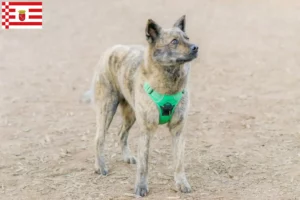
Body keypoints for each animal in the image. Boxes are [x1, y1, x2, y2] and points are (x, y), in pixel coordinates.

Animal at [88, 15, 198, 197]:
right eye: (174, 41)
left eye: (187, 38)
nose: (196, 47)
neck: (169, 84)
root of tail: (111, 49)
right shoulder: (146, 130)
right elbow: (144, 164)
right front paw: (141, 187)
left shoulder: (178, 130)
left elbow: (179, 161)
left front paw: (181, 183)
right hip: (107, 109)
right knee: (99, 138)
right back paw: (100, 166)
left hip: (130, 114)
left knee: (121, 134)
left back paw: (127, 157)